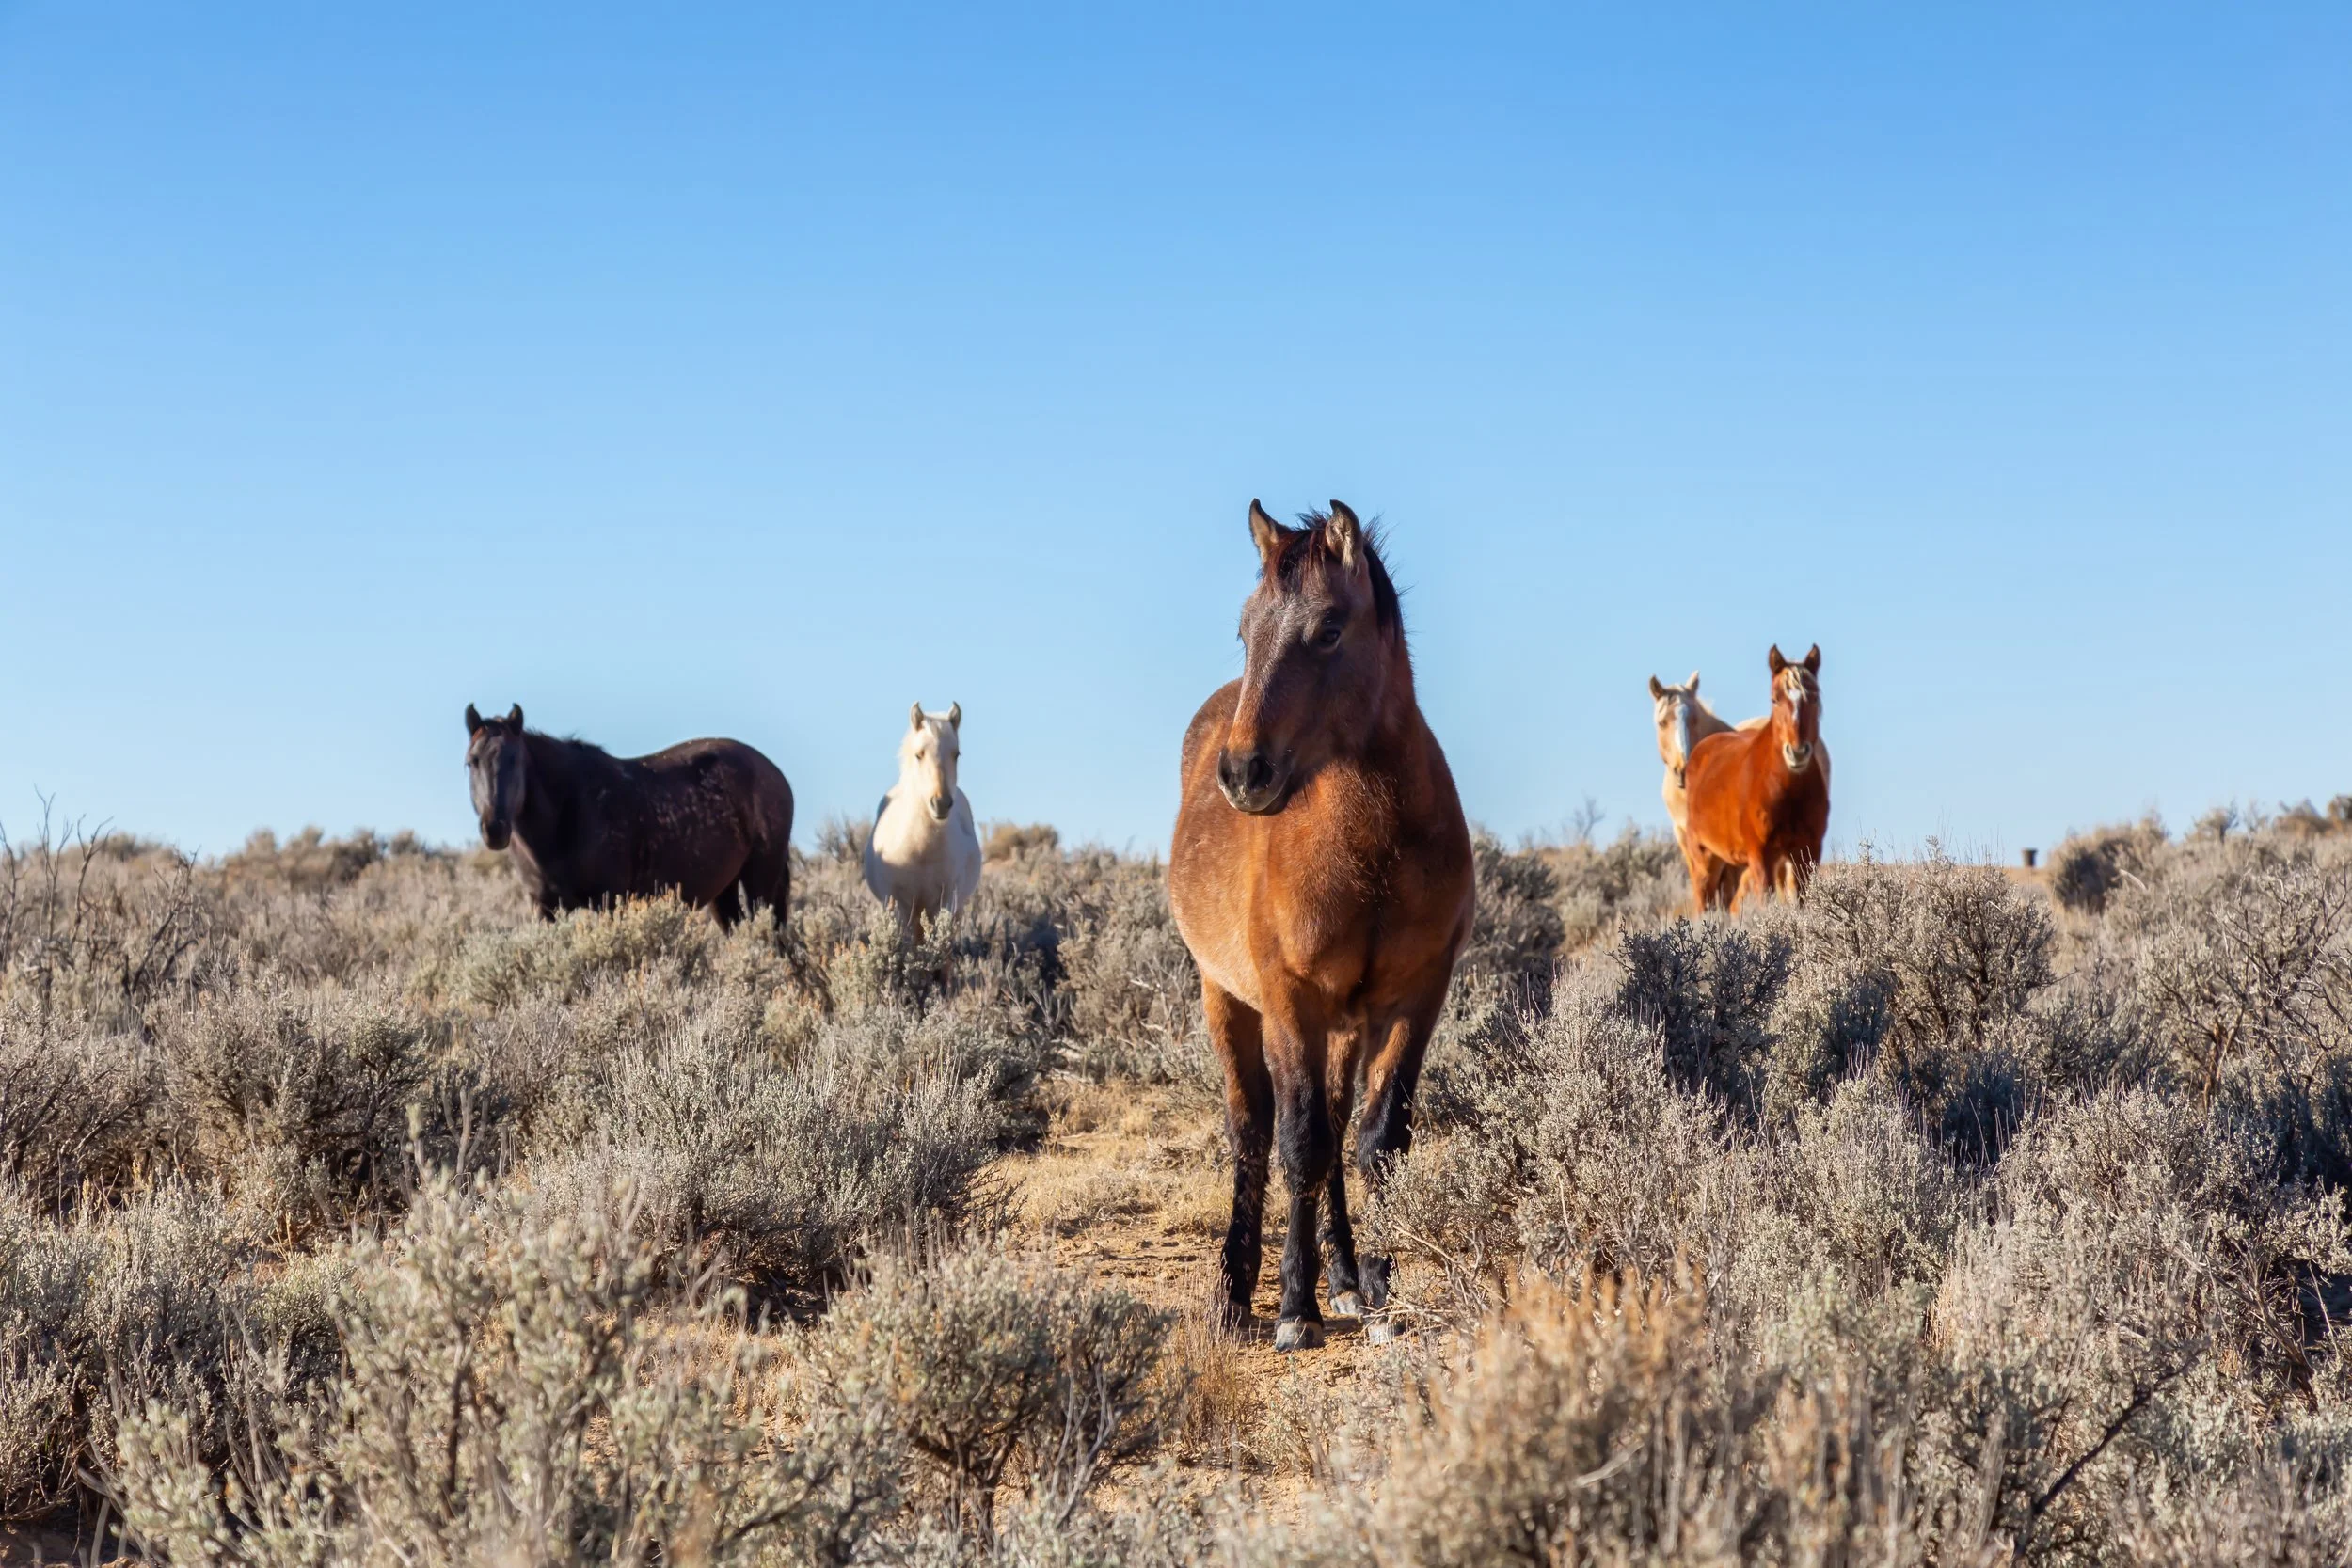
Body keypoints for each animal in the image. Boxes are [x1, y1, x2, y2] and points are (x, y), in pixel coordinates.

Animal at [462, 704, 793, 926]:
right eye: (471, 762)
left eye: (514, 760)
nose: (494, 828)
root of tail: (776, 773)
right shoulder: (545, 907)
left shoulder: (609, 901)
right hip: (723, 890)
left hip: (760, 881)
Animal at [863, 702, 982, 928]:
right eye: (919, 754)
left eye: (956, 754)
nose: (941, 803)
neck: (920, 849)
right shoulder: (899, 905)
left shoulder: (944, 904)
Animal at [1168, 501, 1474, 1352]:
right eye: (1245, 630)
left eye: (1330, 630)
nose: (1244, 772)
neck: (1373, 843)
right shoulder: (1289, 1001)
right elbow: (1297, 1144)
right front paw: (1294, 1307)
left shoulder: (1413, 998)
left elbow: (1378, 1141)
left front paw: (1379, 1286)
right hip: (1228, 1000)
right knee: (1251, 1133)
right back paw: (1237, 1292)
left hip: (1343, 1024)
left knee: (1336, 1131)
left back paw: (1341, 1276)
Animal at [1679, 645, 1830, 913]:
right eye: (1775, 699)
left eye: (1813, 697)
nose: (1797, 751)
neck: (1786, 791)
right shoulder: (1761, 856)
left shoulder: (1808, 851)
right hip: (1704, 858)